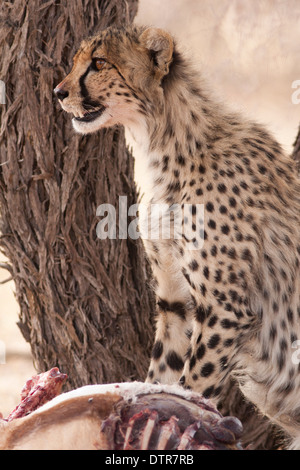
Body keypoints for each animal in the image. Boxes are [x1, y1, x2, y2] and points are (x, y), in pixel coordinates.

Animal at [55, 25, 300, 448]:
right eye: (75, 61)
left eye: (99, 63)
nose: (58, 92)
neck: (162, 143)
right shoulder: (176, 302)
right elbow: (162, 377)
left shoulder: (223, 309)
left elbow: (194, 387)